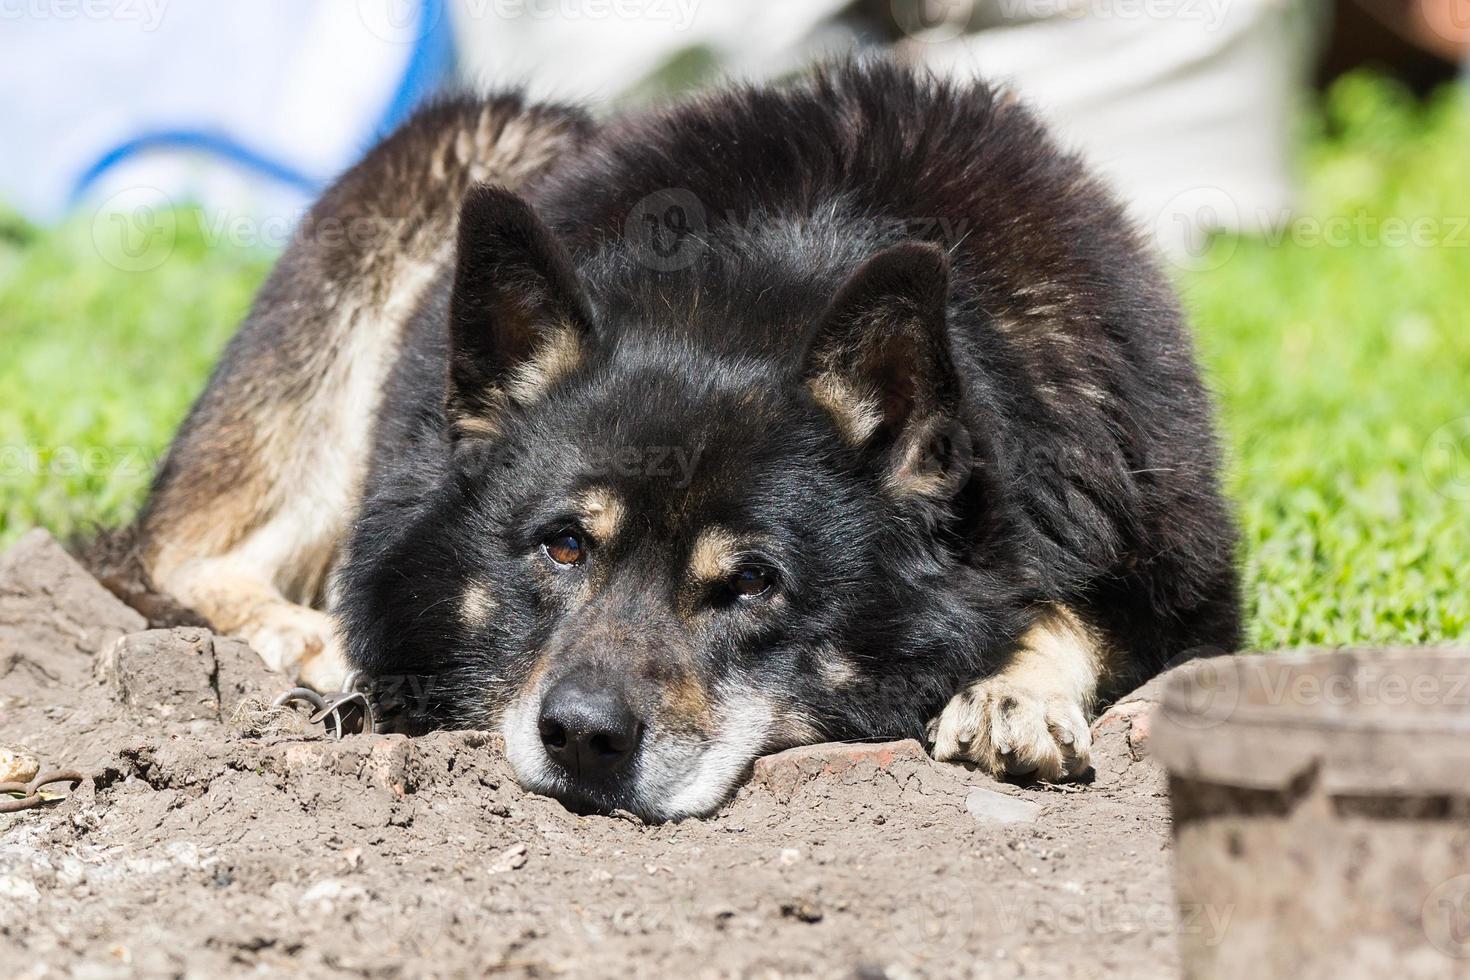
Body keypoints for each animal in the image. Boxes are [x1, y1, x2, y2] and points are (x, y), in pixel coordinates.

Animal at [138, 59, 1240, 822]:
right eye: (563, 546)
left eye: (751, 583)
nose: (582, 740)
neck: (764, 280)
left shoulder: (1181, 578)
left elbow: (1070, 609)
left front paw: (1011, 692)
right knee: (182, 550)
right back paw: (310, 640)